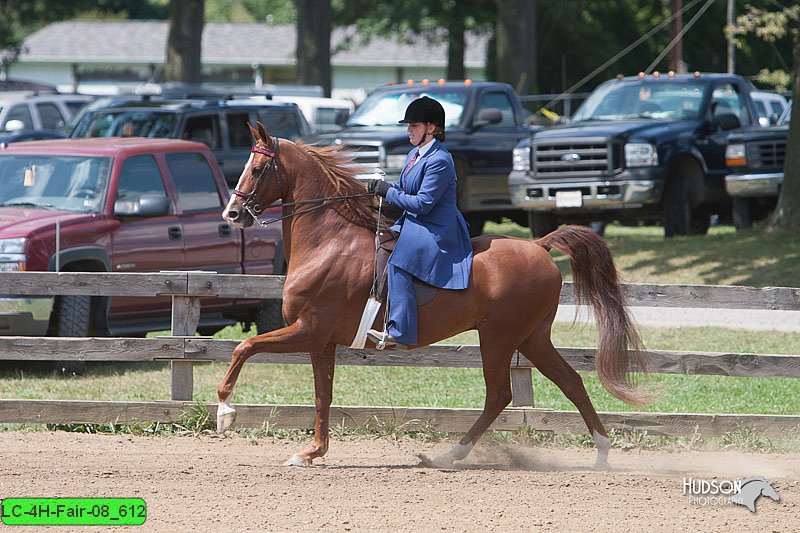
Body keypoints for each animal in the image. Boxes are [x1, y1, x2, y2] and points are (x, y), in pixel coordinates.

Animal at [216, 122, 648, 468]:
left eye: (257, 169)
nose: (232, 214)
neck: (328, 243)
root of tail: (539, 246)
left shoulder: (308, 330)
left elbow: (244, 347)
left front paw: (225, 411)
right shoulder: (321, 342)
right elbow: (323, 396)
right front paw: (311, 453)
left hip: (499, 337)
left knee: (500, 394)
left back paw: (450, 455)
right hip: (532, 338)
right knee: (570, 382)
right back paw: (600, 452)